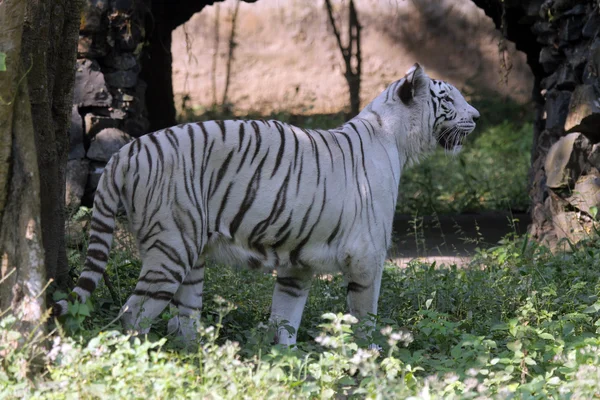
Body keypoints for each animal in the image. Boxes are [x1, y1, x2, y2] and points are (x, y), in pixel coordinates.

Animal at [55, 64, 478, 346]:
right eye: (448, 98)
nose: (476, 115)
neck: (394, 136)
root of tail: (123, 153)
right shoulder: (367, 256)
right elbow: (365, 316)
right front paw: (370, 357)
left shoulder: (298, 262)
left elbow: (285, 316)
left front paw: (287, 361)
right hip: (171, 249)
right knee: (133, 315)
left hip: (190, 256)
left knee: (181, 321)